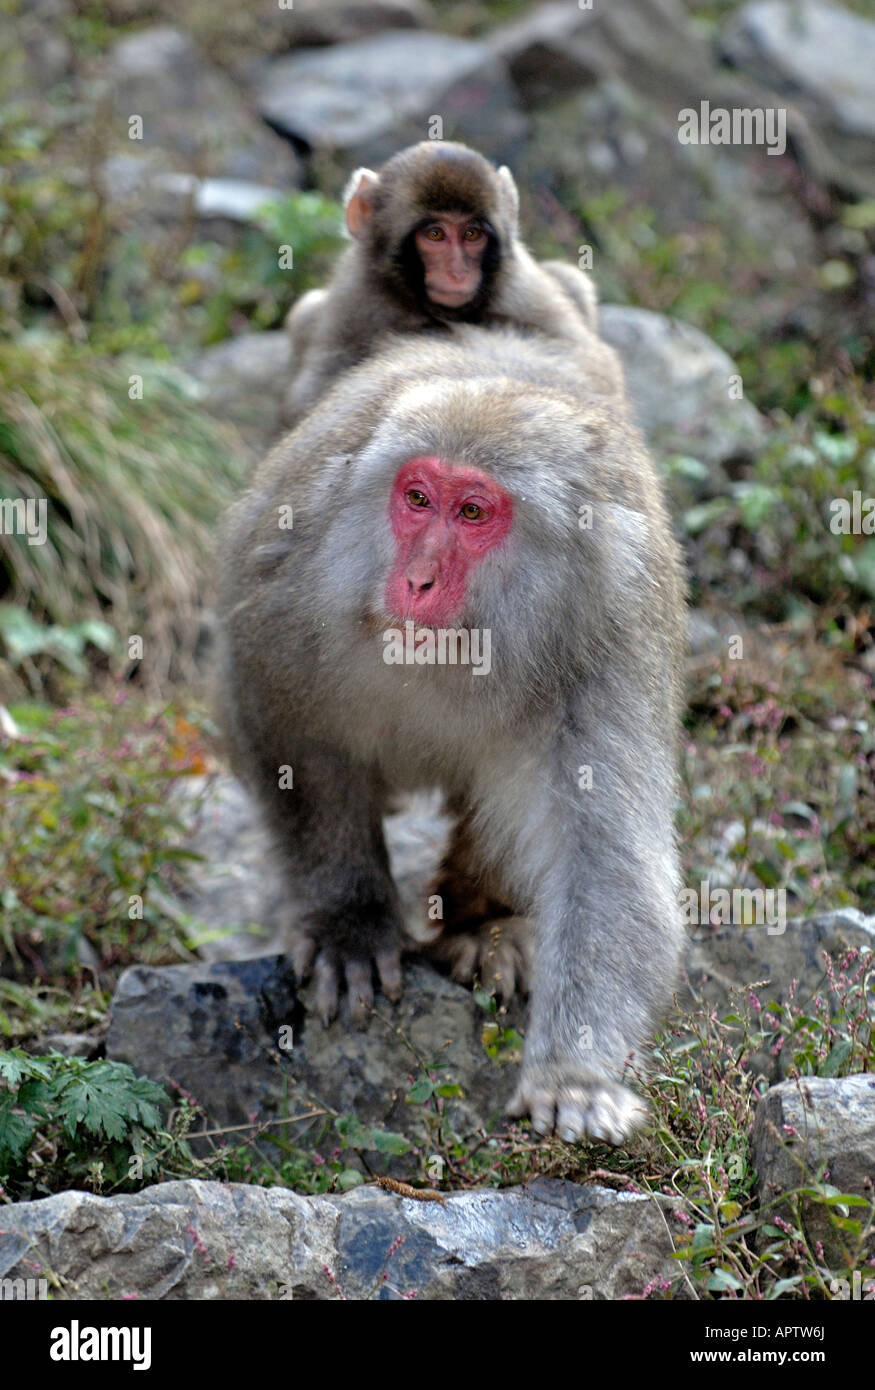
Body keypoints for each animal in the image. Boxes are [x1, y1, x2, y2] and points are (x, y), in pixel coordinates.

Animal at [216, 324, 685, 1144]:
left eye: (472, 512)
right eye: (416, 499)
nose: (417, 580)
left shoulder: (607, 641)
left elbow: (607, 860)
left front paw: (574, 1073)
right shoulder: (294, 583)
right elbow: (291, 737)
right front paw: (350, 922)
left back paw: (482, 922)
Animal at [281, 140, 620, 427]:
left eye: (472, 234)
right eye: (435, 235)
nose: (458, 272)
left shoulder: (521, 288)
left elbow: (586, 362)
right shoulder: (357, 295)